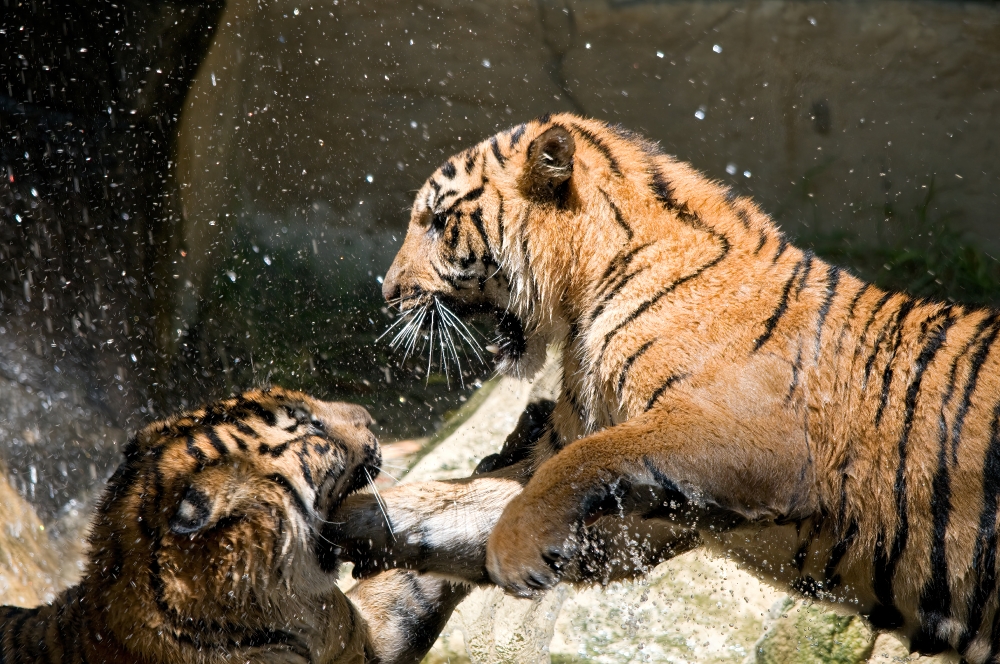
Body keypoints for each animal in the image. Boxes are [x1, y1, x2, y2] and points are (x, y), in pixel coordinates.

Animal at [324, 111, 1000, 660]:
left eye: (438, 222)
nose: (388, 292)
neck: (588, 292)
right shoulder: (642, 515)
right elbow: (453, 501)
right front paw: (340, 517)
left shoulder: (747, 438)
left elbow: (579, 462)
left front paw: (515, 552)